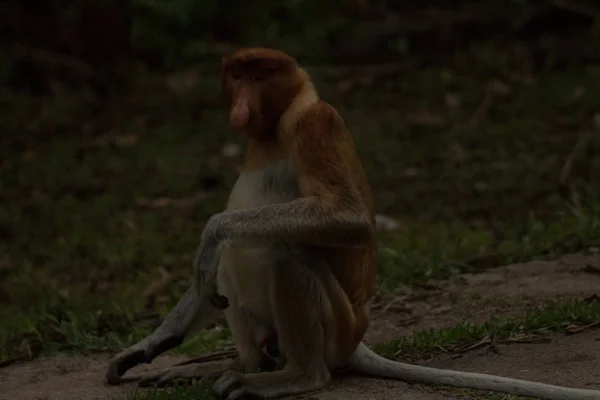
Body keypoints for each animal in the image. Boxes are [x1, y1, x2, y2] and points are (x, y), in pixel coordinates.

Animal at [106, 47, 600, 400]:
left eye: (260, 76)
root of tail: (357, 336)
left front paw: (213, 229)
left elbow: (349, 218)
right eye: (237, 76)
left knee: (287, 252)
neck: (272, 131)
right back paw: (237, 367)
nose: (241, 107)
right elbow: (206, 279)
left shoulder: (314, 124)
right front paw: (148, 346)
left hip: (336, 326)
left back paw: (294, 377)